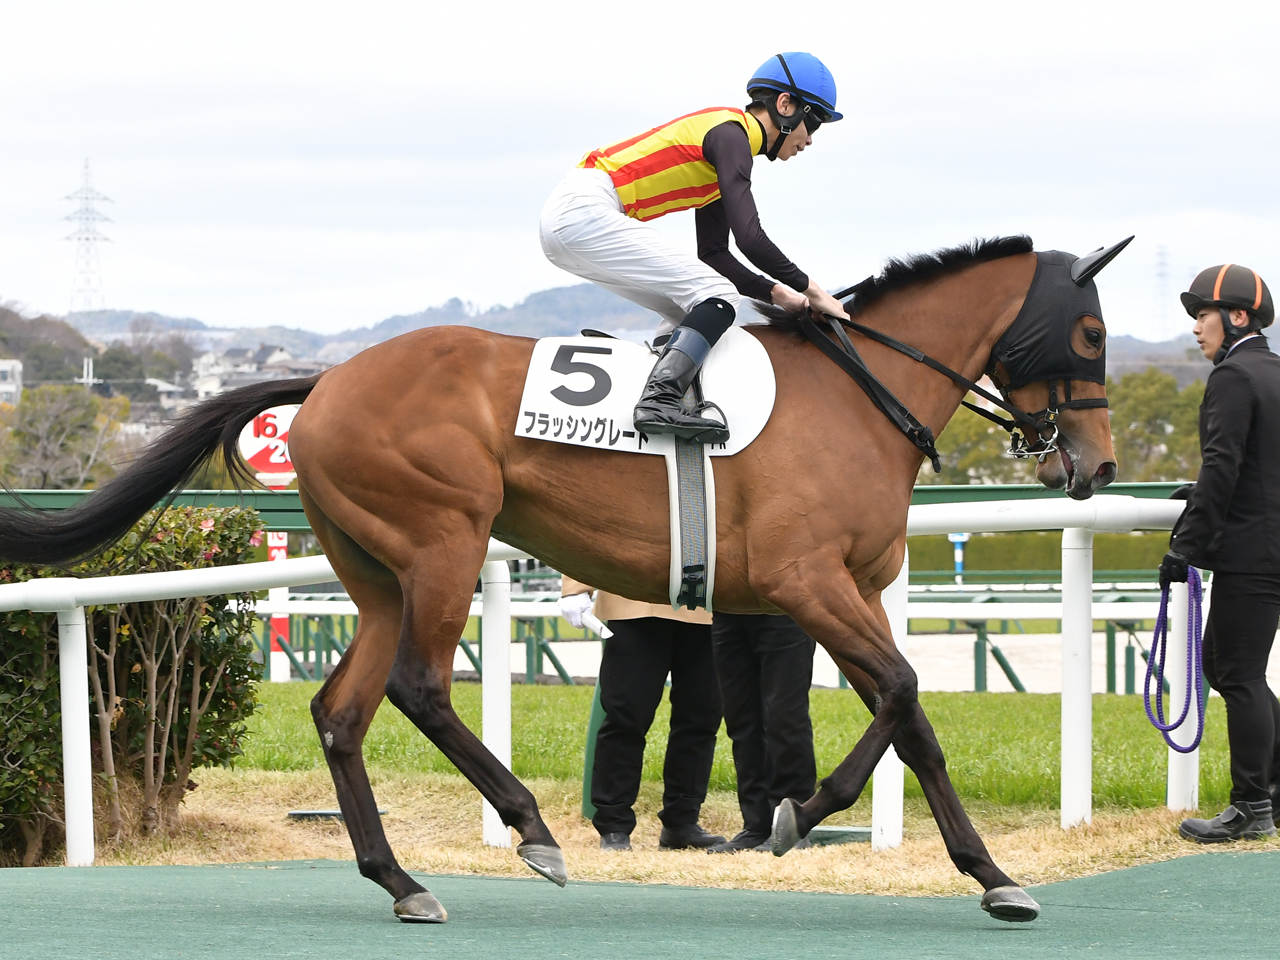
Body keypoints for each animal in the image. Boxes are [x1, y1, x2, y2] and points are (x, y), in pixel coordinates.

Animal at [0, 235, 1119, 925]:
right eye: (1093, 332)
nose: (1098, 470)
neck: (858, 396)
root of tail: (326, 380)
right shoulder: (806, 584)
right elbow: (902, 691)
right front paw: (799, 818)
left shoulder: (850, 590)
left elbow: (912, 718)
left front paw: (993, 877)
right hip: (443, 542)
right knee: (417, 687)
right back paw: (532, 829)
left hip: (378, 573)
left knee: (341, 710)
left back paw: (400, 880)